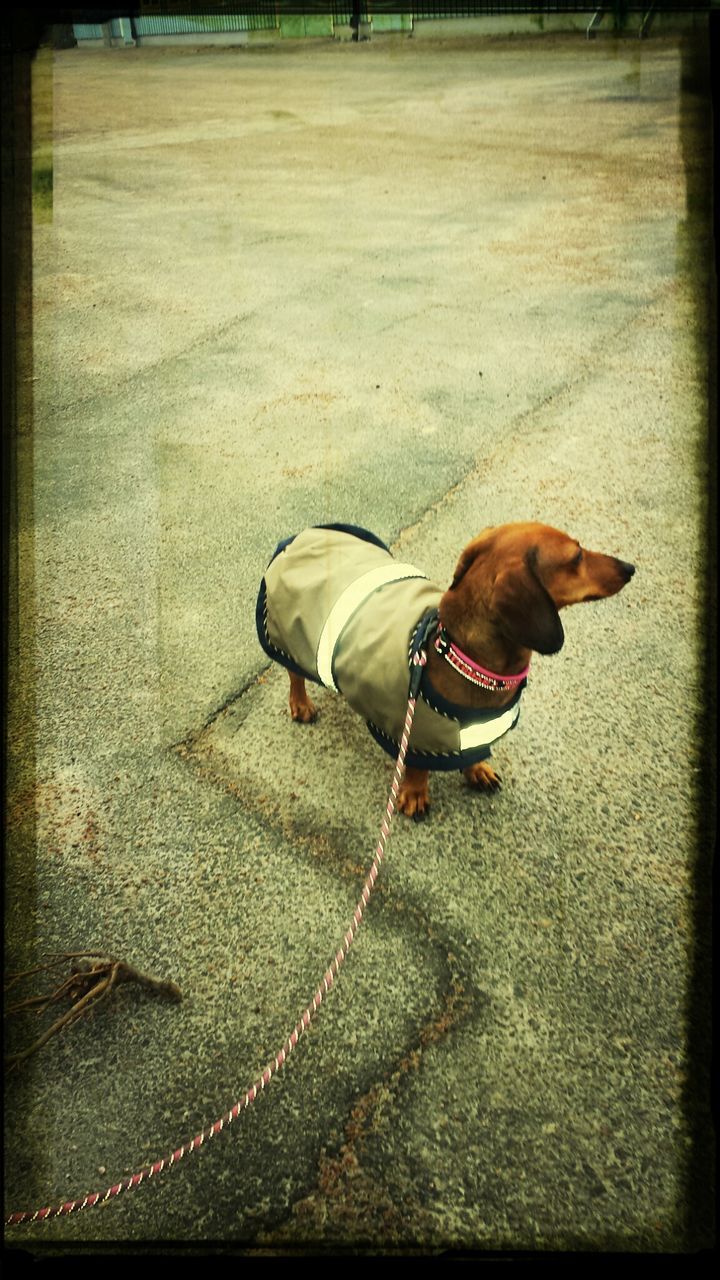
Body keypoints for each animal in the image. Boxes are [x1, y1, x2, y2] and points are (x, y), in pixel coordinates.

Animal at [257, 517, 632, 808]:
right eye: (577, 555)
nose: (630, 568)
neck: (459, 657)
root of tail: (298, 538)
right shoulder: (412, 731)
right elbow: (417, 767)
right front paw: (414, 793)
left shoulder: (475, 727)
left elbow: (474, 752)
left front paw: (477, 770)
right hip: (291, 638)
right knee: (293, 674)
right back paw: (300, 704)